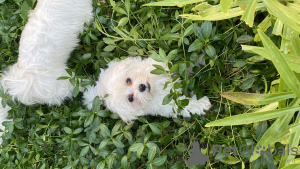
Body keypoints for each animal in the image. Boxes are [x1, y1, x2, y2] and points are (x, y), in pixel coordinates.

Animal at [83, 56, 212, 123]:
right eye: (130, 98)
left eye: (128, 80)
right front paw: (202, 103)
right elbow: (184, 105)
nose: (142, 87)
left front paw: (200, 62)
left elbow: (179, 69)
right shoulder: (167, 105)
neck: (155, 88)